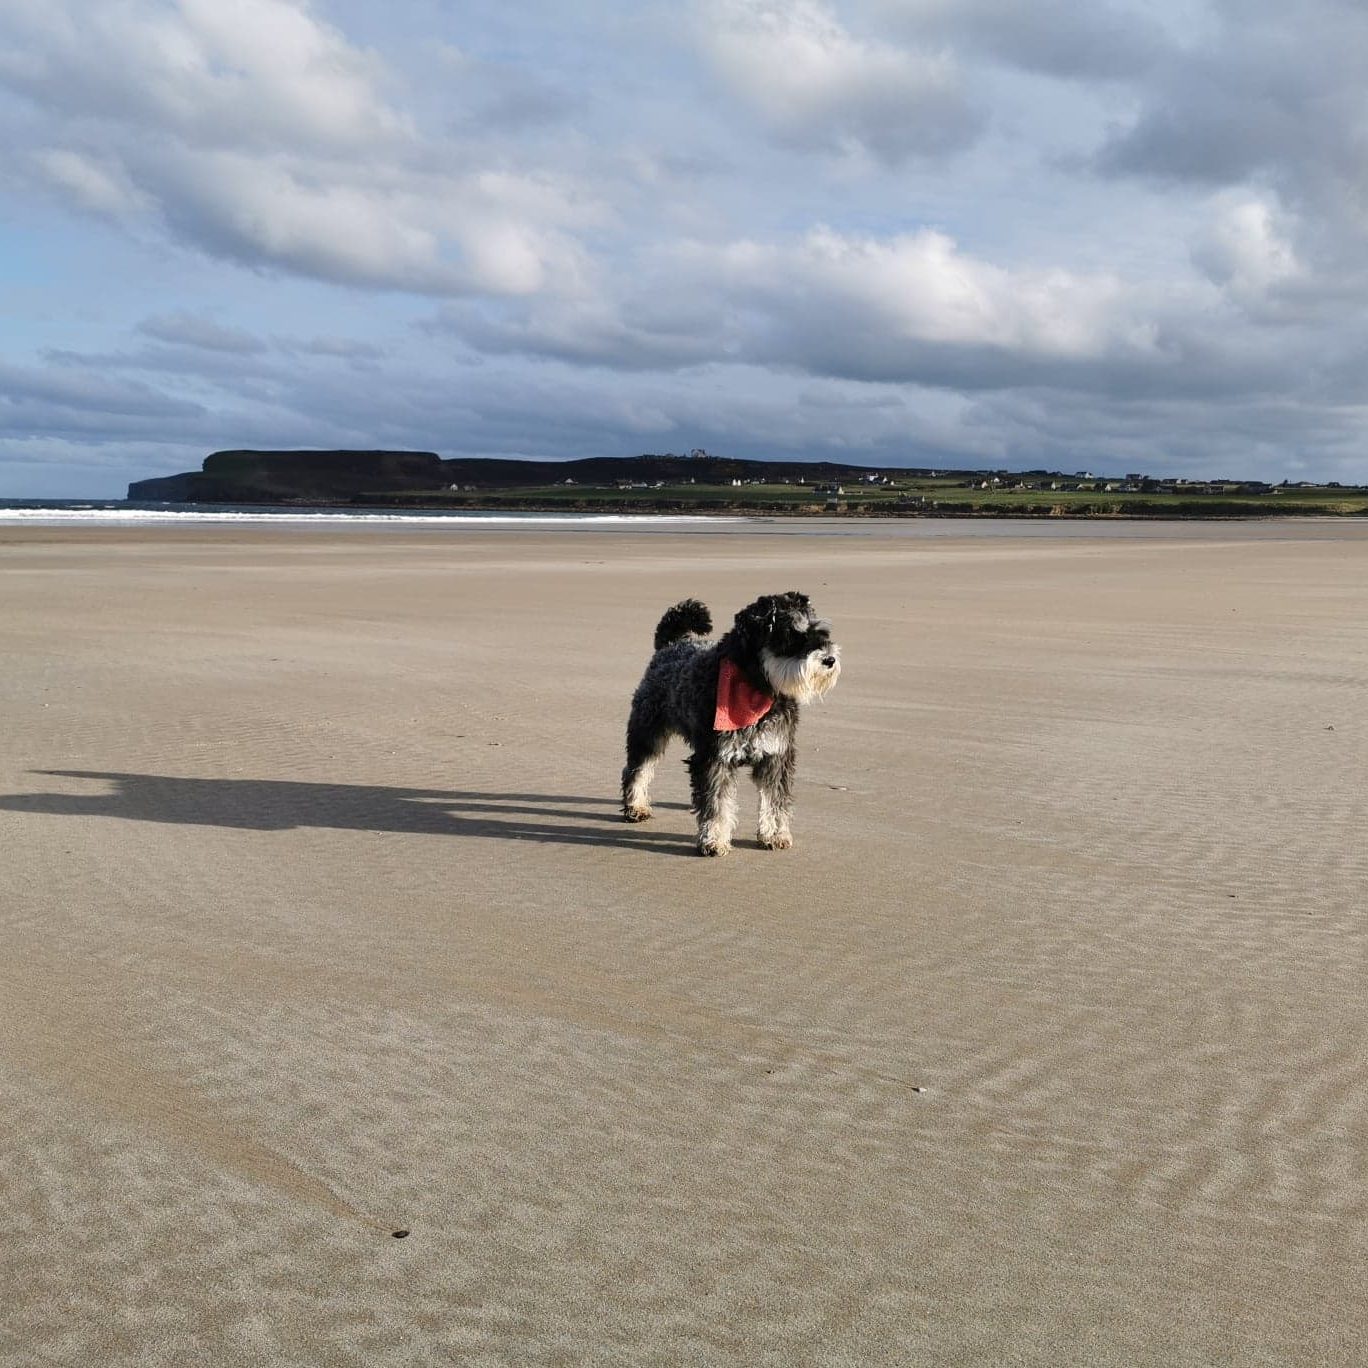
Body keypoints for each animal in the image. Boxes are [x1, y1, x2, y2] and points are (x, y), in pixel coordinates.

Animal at [618, 590, 831, 853]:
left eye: (821, 633)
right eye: (790, 635)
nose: (829, 660)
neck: (758, 687)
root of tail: (670, 645)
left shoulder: (776, 756)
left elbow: (774, 800)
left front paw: (774, 834)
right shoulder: (715, 758)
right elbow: (716, 802)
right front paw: (714, 839)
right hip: (648, 732)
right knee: (638, 768)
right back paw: (635, 807)